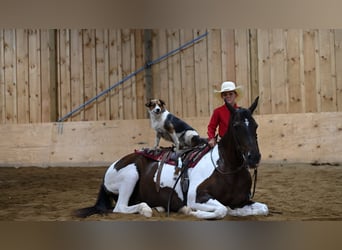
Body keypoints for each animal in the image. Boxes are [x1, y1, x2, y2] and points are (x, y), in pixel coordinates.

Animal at [74, 96, 268, 220]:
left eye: (256, 125)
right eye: (236, 125)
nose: (254, 157)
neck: (226, 170)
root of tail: (112, 166)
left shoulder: (244, 200)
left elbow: (263, 208)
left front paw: (237, 211)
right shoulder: (196, 197)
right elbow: (221, 210)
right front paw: (192, 212)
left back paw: (157, 207)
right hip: (131, 174)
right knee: (120, 207)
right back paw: (146, 210)